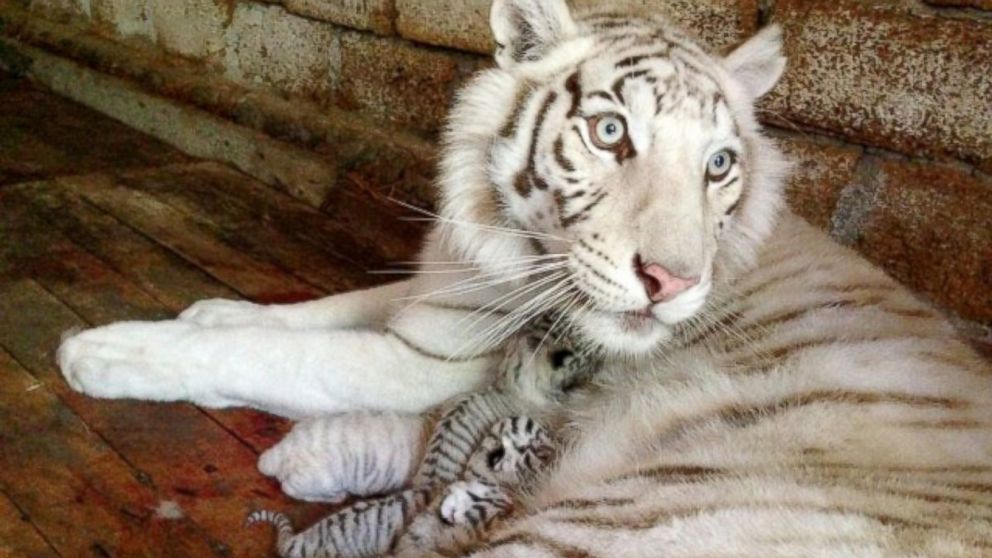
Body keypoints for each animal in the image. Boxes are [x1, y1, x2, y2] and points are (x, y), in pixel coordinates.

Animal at [56, 0, 992, 556]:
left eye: (720, 164)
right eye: (612, 133)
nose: (672, 281)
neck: (507, 246)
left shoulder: (433, 362)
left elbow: (272, 354)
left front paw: (104, 352)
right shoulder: (439, 291)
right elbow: (324, 307)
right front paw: (214, 309)